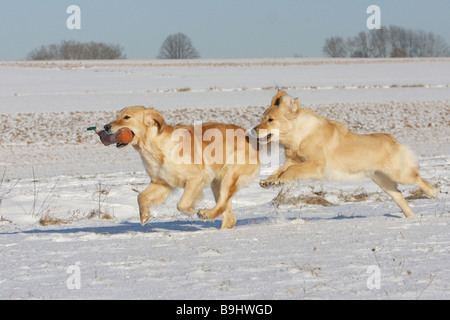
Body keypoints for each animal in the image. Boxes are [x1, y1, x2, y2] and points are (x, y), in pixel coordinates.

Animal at [105, 106, 260, 229]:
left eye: (127, 117)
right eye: (117, 116)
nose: (106, 126)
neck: (156, 147)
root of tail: (250, 136)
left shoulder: (195, 178)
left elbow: (181, 203)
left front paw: (190, 210)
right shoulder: (161, 182)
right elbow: (141, 196)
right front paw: (144, 216)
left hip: (229, 175)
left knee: (222, 203)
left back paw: (205, 213)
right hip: (217, 182)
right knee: (229, 217)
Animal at [253, 91, 436, 219]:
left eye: (270, 120)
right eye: (261, 118)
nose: (253, 130)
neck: (300, 134)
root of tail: (393, 139)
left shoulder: (316, 165)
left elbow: (291, 171)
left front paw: (280, 180)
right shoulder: (292, 160)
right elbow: (280, 169)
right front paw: (269, 181)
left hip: (399, 174)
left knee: (419, 179)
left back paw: (433, 193)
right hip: (384, 182)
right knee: (399, 196)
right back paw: (410, 218)